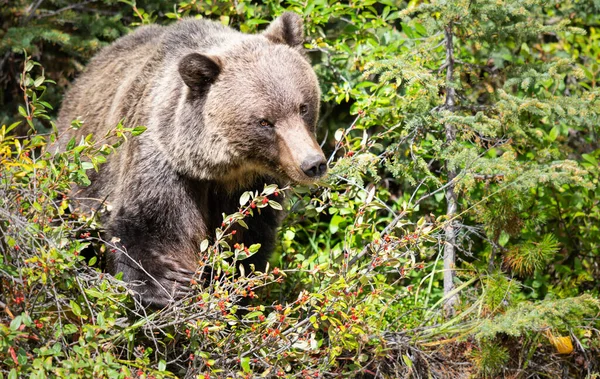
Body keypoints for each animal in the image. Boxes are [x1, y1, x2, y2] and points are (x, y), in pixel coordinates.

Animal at [55, 12, 326, 308]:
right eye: (265, 121)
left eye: (303, 107)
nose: (313, 164)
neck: (222, 169)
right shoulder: (165, 164)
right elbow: (149, 226)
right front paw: (168, 283)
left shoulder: (253, 189)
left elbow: (245, 244)